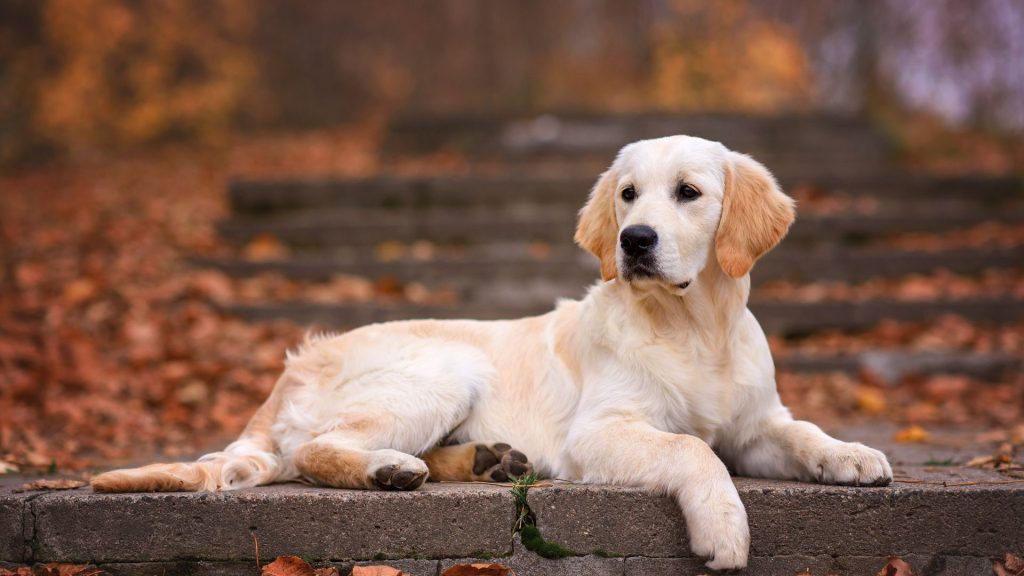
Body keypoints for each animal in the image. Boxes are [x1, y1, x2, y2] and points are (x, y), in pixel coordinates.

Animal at [96, 135, 897, 569]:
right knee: (311, 451)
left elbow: (802, 431)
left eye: (689, 193)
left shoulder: (758, 425)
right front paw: (725, 529)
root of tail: (291, 370)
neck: (694, 327)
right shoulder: (599, 433)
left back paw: (481, 461)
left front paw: (854, 456)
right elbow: (693, 449)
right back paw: (390, 469)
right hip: (445, 370)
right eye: (628, 195)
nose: (634, 241)